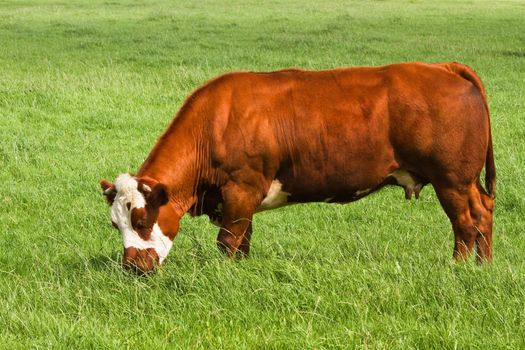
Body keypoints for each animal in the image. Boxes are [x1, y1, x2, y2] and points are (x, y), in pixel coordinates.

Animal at [99, 62, 496, 274]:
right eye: (116, 223)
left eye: (142, 220)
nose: (132, 266)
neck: (216, 122)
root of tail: (444, 68)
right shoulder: (239, 199)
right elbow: (243, 240)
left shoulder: (241, 188)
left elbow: (228, 242)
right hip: (467, 182)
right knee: (483, 212)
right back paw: (483, 265)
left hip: (451, 180)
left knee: (464, 223)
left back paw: (460, 267)